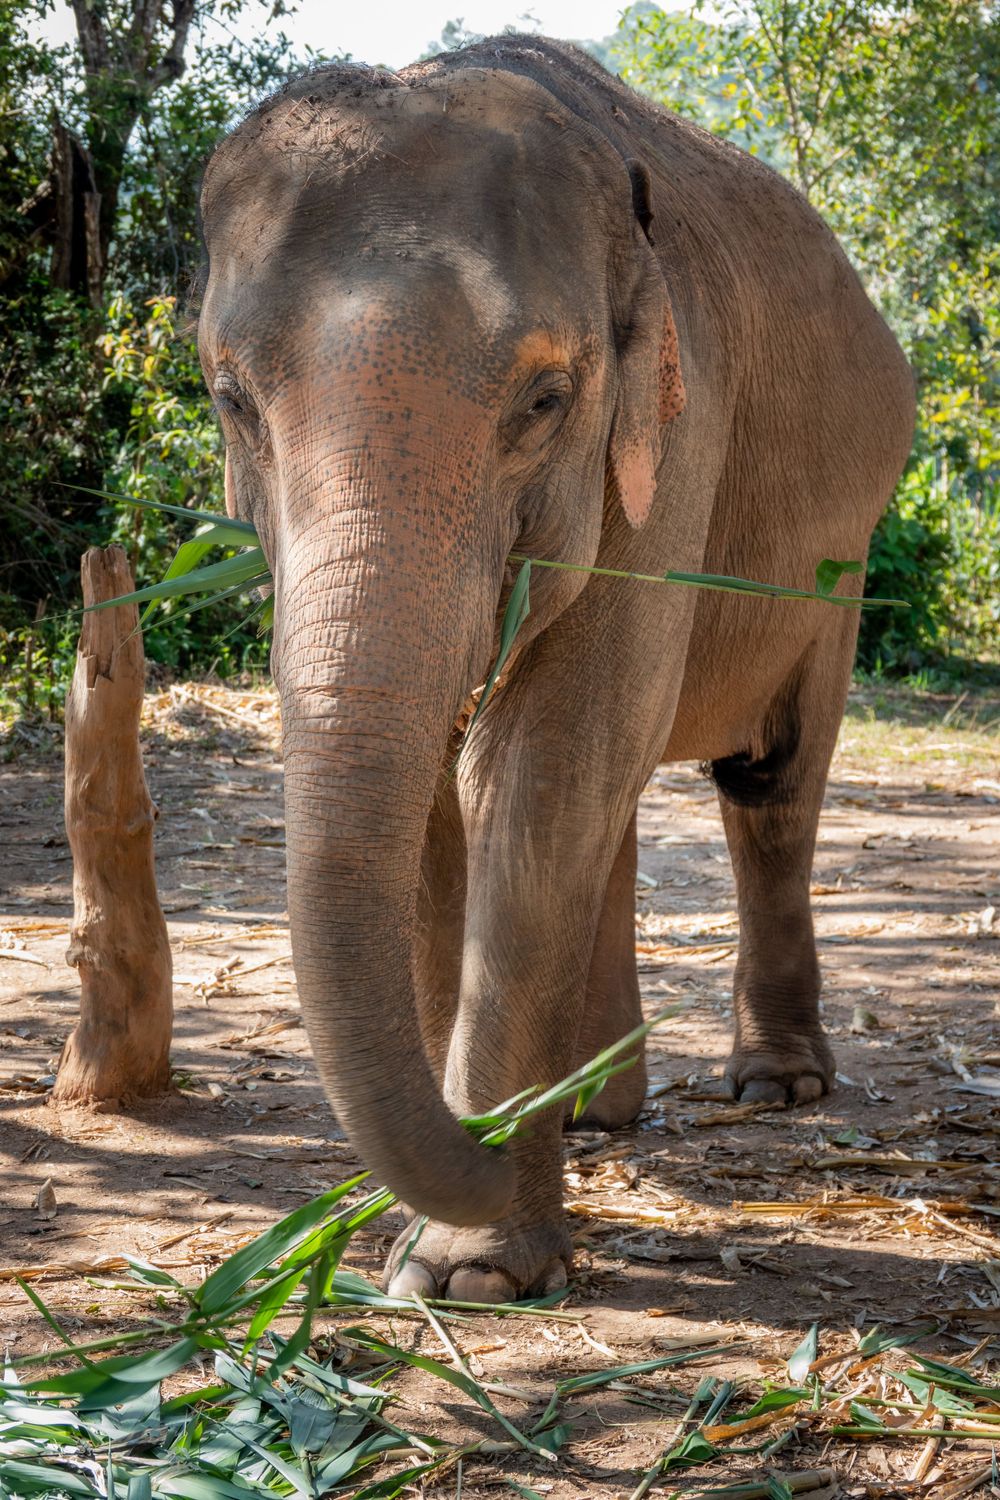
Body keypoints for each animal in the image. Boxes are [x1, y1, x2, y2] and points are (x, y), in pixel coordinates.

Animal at [197, 36, 915, 1303]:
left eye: (542, 399)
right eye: (232, 399)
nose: (477, 1136)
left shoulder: (678, 437)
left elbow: (539, 772)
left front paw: (468, 1275)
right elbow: (448, 800)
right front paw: (437, 1236)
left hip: (842, 556)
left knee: (767, 784)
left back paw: (773, 1087)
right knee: (624, 799)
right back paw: (597, 1113)